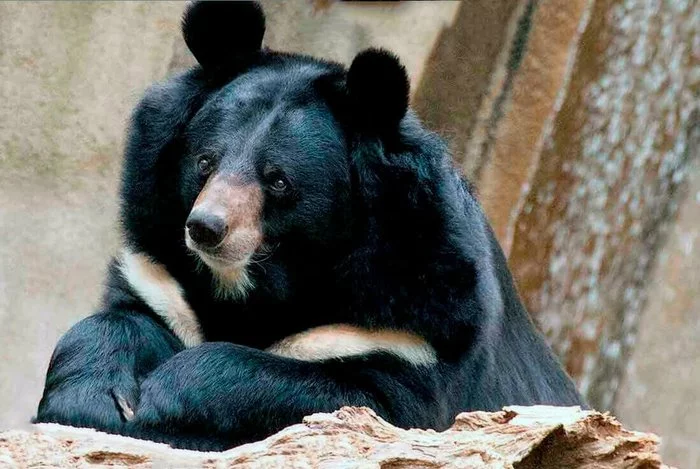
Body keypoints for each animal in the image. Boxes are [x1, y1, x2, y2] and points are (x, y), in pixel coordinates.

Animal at [35, 1, 584, 452]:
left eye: (277, 180)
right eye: (205, 162)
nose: (206, 228)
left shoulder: (415, 324)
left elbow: (343, 398)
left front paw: (161, 403)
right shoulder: (161, 278)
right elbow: (113, 323)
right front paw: (100, 400)